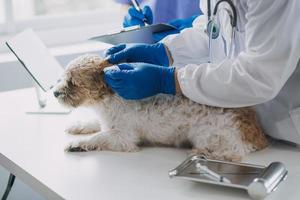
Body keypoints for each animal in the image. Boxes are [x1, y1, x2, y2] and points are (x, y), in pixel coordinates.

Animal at [54, 54, 268, 161]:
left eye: (72, 82)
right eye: (64, 78)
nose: (54, 92)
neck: (109, 97)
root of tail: (257, 135)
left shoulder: (123, 137)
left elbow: (99, 137)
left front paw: (77, 144)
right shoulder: (106, 121)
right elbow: (94, 124)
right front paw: (77, 126)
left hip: (209, 134)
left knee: (234, 153)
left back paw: (202, 153)